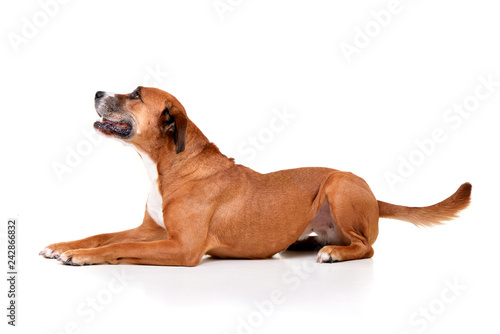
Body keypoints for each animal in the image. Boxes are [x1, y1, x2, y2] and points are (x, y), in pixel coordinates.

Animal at [40, 86, 472, 266]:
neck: (168, 166)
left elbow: (117, 246)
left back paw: (334, 252)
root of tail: (373, 195)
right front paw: (64, 245)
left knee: (365, 247)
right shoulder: (152, 230)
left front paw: (81, 257)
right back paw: (305, 242)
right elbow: (103, 235)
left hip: (339, 183)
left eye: (135, 95)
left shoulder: (181, 247)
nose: (97, 91)